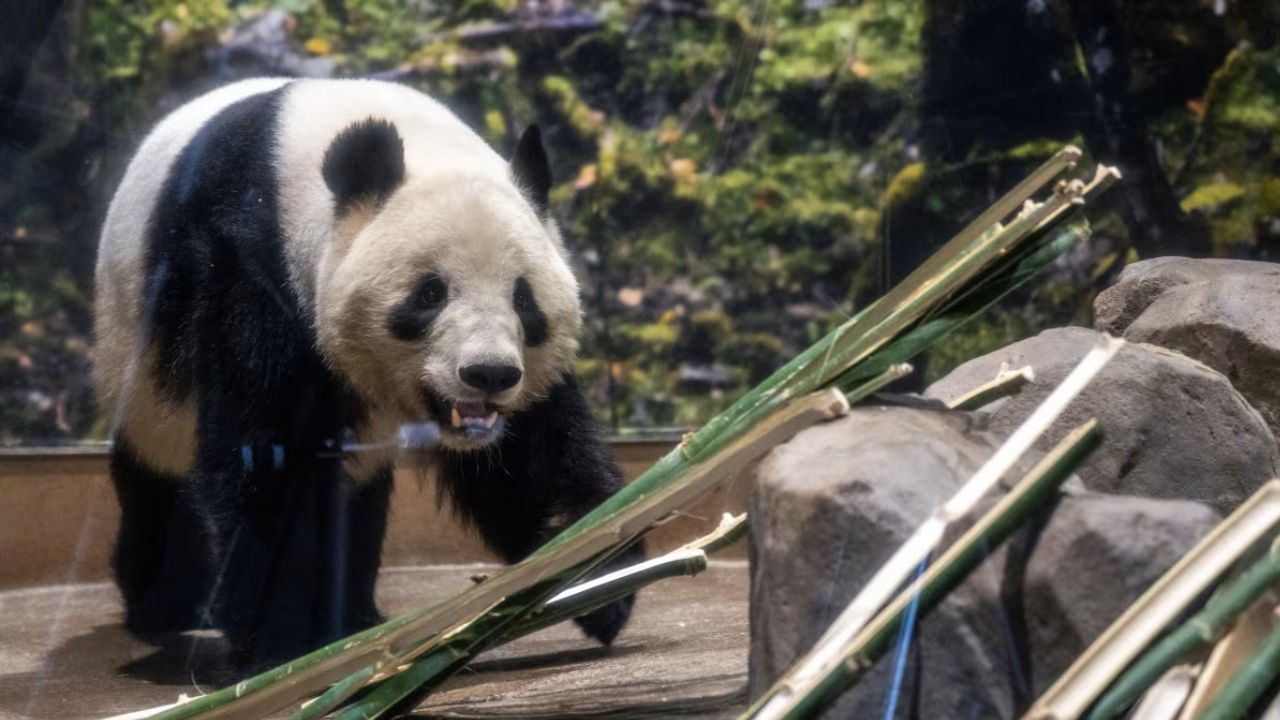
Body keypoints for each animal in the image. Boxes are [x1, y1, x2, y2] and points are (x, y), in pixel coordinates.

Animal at [93, 78, 641, 670]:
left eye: (523, 298)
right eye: (430, 293)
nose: (488, 374)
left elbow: (534, 453)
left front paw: (596, 575)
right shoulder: (247, 262)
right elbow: (266, 456)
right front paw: (280, 646)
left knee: (357, 495)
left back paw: (354, 614)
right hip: (139, 359)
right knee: (160, 478)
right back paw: (166, 602)